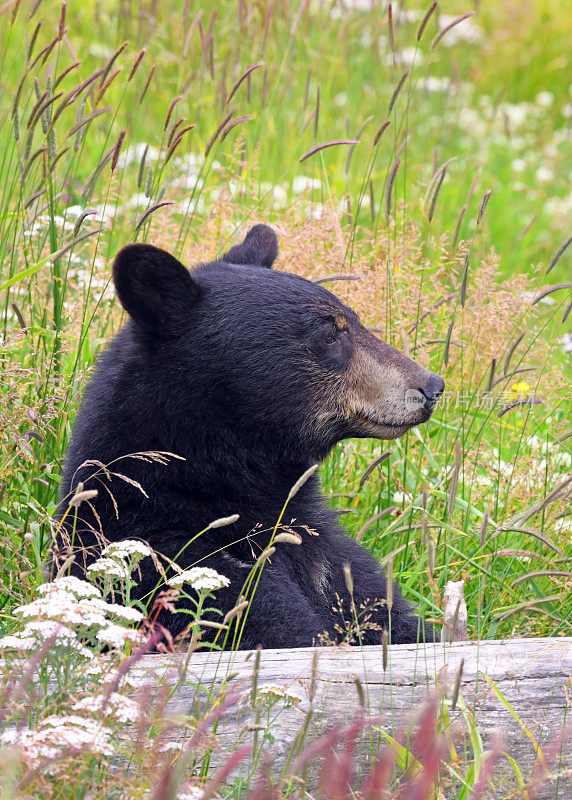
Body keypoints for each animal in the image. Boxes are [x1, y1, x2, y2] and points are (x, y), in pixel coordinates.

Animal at [53, 225, 444, 648]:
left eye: (353, 322)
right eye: (329, 334)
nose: (432, 385)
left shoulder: (335, 564)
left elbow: (389, 618)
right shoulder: (173, 564)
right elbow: (273, 626)